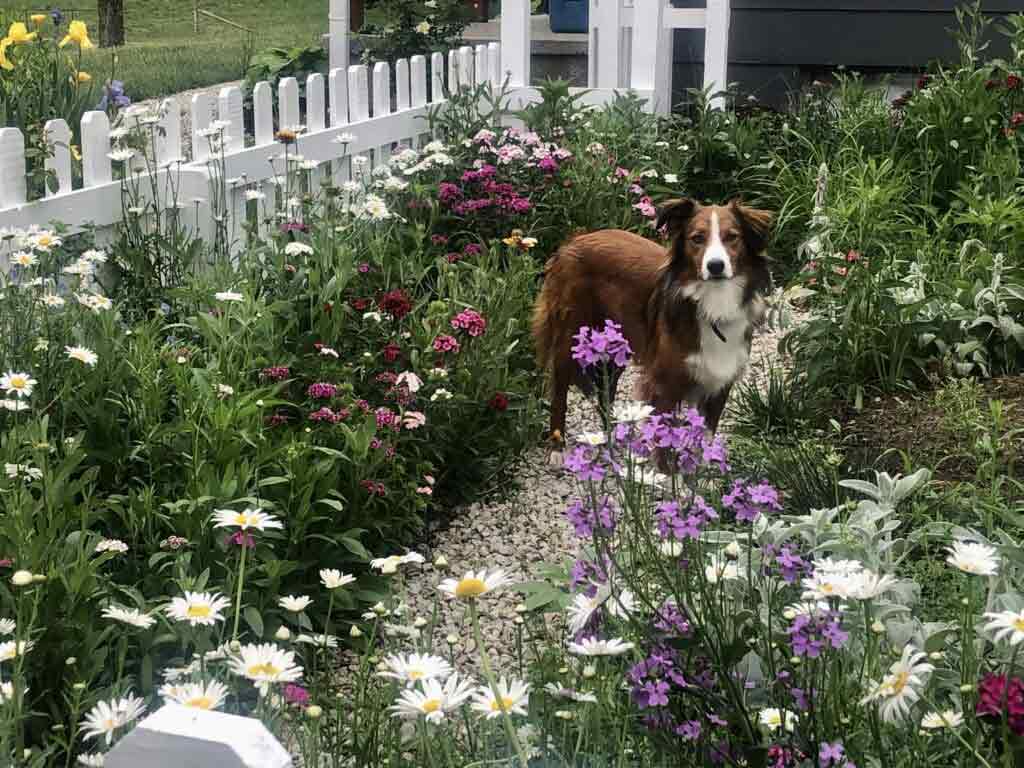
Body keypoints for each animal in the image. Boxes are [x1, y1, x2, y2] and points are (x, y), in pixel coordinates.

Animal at [532, 198, 770, 450]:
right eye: (697, 238)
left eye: (732, 237)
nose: (715, 266)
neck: (712, 304)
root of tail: (573, 240)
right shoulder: (664, 384)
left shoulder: (719, 384)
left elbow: (703, 440)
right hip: (569, 337)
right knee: (559, 392)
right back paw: (557, 447)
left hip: (617, 345)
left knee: (606, 391)